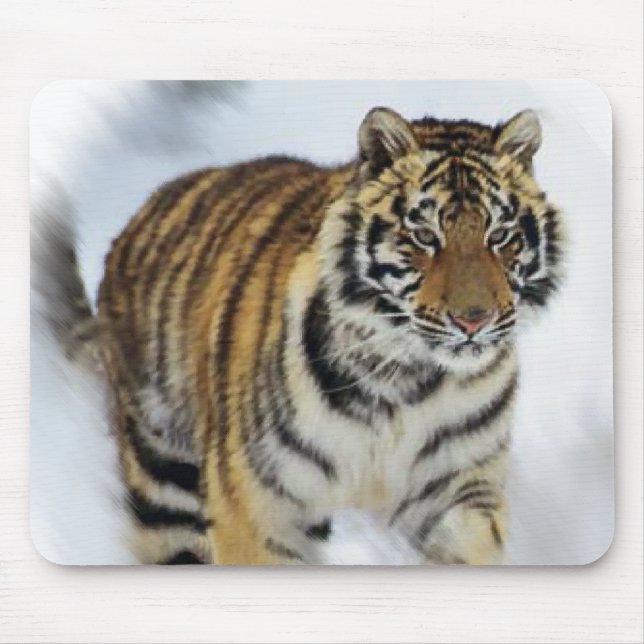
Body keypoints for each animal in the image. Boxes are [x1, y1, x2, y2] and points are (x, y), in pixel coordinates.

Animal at [51, 106, 563, 565]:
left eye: (500, 235)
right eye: (423, 236)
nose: (474, 320)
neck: (405, 382)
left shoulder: (456, 492)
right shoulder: (260, 507)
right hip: (163, 481)